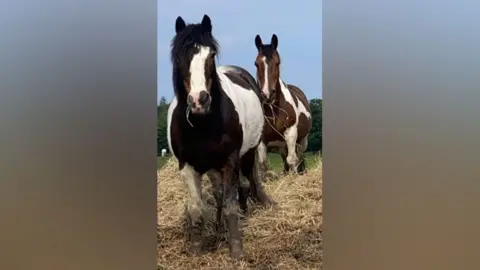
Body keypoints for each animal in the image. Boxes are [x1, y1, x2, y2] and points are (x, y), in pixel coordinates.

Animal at [167, 14, 274, 260]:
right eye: (179, 56)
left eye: (211, 55)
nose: (199, 100)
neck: (201, 123)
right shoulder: (187, 166)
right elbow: (197, 208)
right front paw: (197, 250)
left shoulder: (230, 161)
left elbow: (229, 204)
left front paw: (236, 249)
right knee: (218, 193)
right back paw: (217, 230)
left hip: (248, 153)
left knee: (249, 180)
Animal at [253, 33, 314, 176]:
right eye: (256, 64)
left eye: (278, 62)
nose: (267, 94)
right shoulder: (262, 139)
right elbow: (263, 165)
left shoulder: (290, 133)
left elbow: (292, 161)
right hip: (282, 145)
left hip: (302, 141)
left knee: (299, 158)